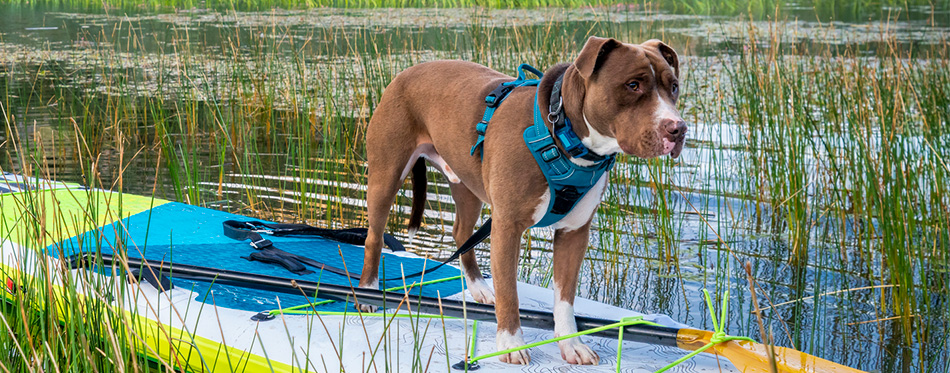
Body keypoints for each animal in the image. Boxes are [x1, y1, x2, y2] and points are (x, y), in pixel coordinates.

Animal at [356, 37, 684, 364]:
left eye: (674, 87)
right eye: (632, 85)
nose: (678, 128)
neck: (564, 135)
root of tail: (405, 72)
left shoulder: (574, 233)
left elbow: (565, 297)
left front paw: (570, 343)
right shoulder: (508, 227)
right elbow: (509, 291)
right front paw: (511, 344)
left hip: (466, 184)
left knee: (461, 233)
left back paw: (479, 289)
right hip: (386, 173)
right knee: (374, 236)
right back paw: (368, 292)